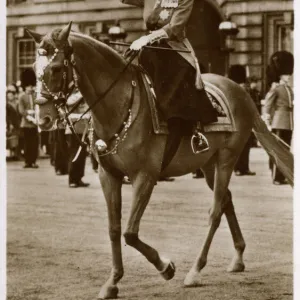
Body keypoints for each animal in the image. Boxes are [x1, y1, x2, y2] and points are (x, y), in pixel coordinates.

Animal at [26, 22, 292, 298]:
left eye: (57, 68)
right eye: (34, 67)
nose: (43, 118)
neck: (118, 105)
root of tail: (240, 91)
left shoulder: (145, 176)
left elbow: (130, 233)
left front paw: (165, 267)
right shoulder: (108, 175)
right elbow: (114, 229)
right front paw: (112, 281)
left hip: (227, 159)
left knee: (216, 211)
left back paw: (195, 270)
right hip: (209, 164)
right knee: (226, 200)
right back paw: (238, 256)